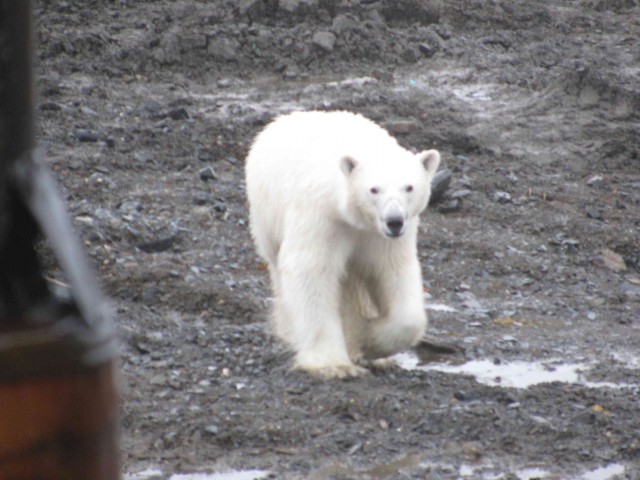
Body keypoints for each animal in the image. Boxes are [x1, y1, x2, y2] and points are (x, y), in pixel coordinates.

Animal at [245, 110, 441, 379]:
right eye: (374, 189)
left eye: (409, 187)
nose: (394, 221)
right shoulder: (322, 217)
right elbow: (311, 269)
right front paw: (334, 365)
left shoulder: (380, 237)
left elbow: (393, 273)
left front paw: (371, 342)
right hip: (267, 218)